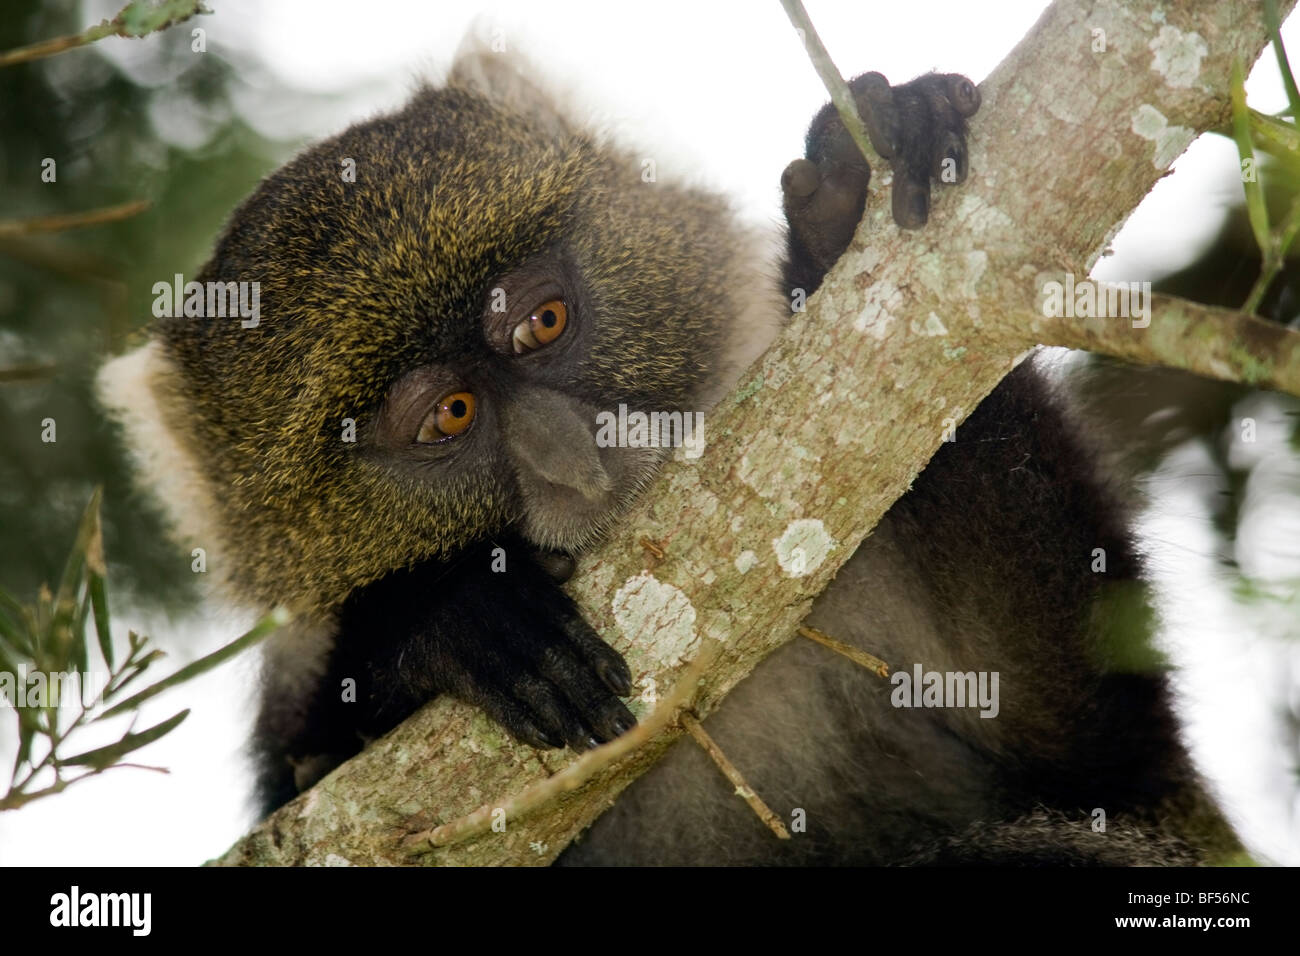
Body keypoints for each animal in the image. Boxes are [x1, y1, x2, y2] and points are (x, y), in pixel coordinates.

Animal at [96, 44, 1242, 868]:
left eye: (543, 322)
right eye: (449, 416)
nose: (567, 456)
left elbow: (1102, 755)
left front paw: (843, 213)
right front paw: (447, 614)